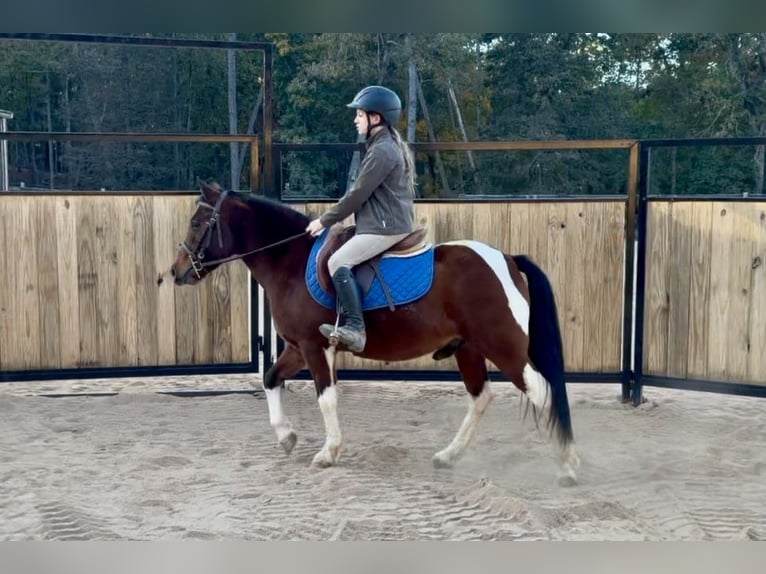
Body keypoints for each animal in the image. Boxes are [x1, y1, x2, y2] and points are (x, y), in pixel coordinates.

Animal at [169, 181, 580, 486]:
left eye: (196, 222)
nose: (176, 271)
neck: (290, 262)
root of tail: (506, 259)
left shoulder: (316, 347)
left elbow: (326, 399)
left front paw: (328, 452)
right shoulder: (297, 347)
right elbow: (270, 378)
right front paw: (286, 437)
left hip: (503, 347)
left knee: (541, 390)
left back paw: (566, 467)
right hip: (469, 349)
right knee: (481, 397)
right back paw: (449, 456)